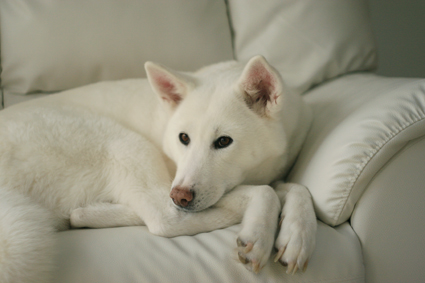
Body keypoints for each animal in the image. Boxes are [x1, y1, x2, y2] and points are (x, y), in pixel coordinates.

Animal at [0, 55, 314, 282]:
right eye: (183, 138)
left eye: (224, 141)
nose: (181, 197)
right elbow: (266, 191)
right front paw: (260, 232)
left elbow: (297, 188)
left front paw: (297, 236)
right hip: (124, 142)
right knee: (164, 219)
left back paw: (87, 214)